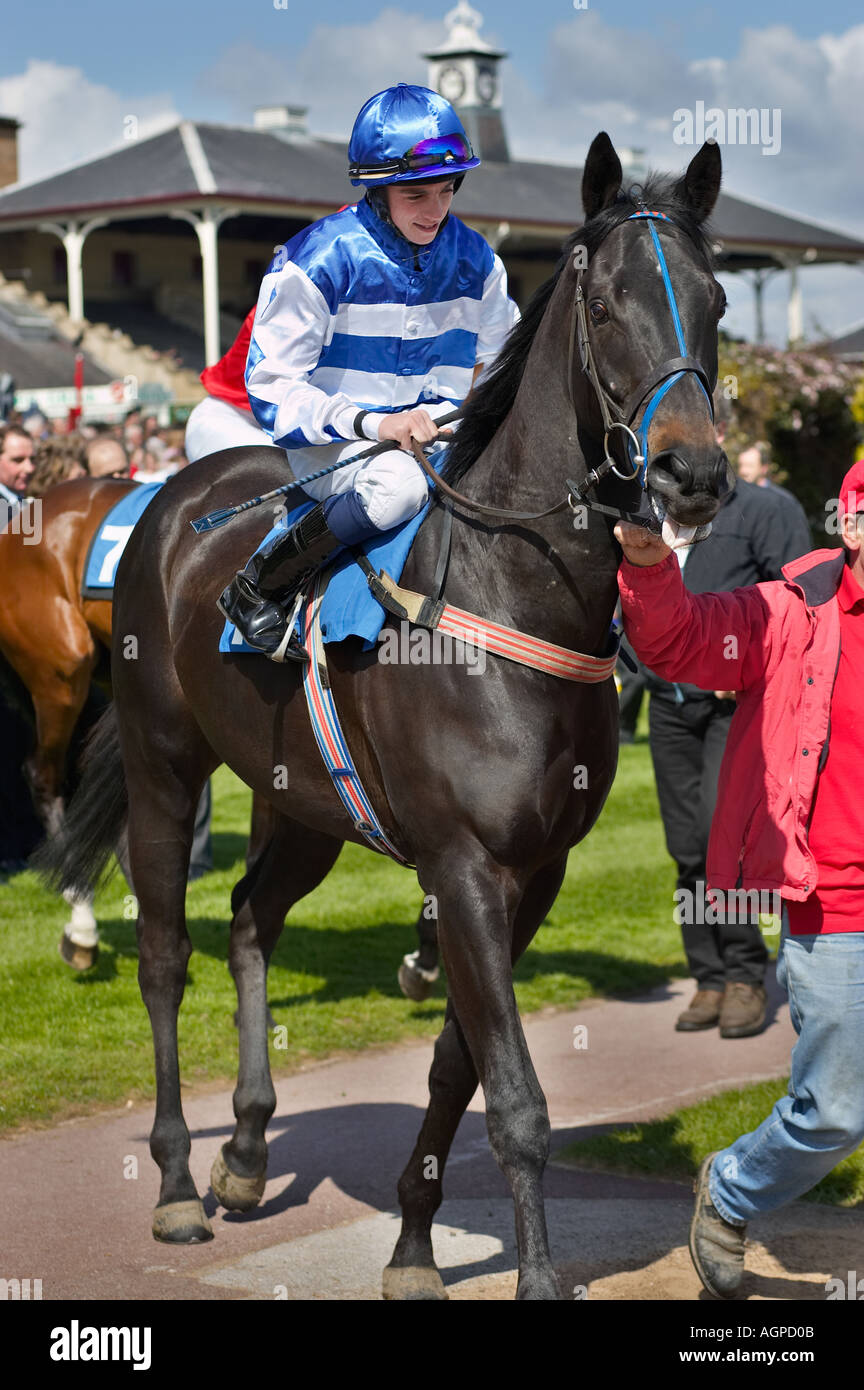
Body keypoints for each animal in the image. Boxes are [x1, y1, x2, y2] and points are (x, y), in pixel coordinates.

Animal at [40, 135, 733, 1295]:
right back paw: (178, 1182)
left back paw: (245, 1152)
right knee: (167, 956)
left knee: (250, 920)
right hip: (161, 763)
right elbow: (516, 1094)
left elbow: (459, 1064)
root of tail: (165, 500)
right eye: (605, 306)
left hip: (302, 804)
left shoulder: (532, 872)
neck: (512, 598)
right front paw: (534, 1275)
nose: (694, 470)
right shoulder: (464, 866)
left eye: (716, 301)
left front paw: (412, 1244)